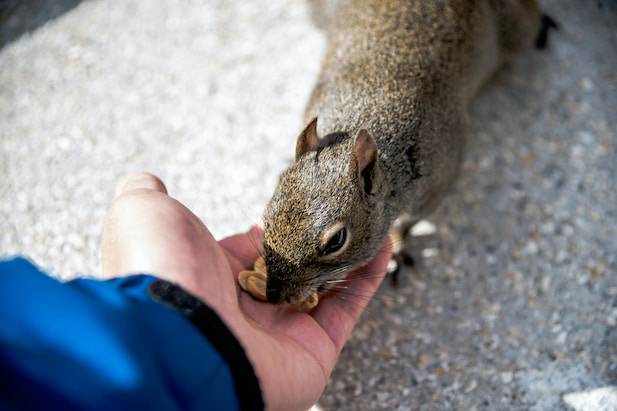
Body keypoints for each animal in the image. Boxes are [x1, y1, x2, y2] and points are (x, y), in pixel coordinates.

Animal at [260, 0, 548, 304]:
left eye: (336, 241)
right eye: (266, 219)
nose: (274, 295)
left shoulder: (436, 186)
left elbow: (408, 223)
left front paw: (396, 247)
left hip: (515, 30)